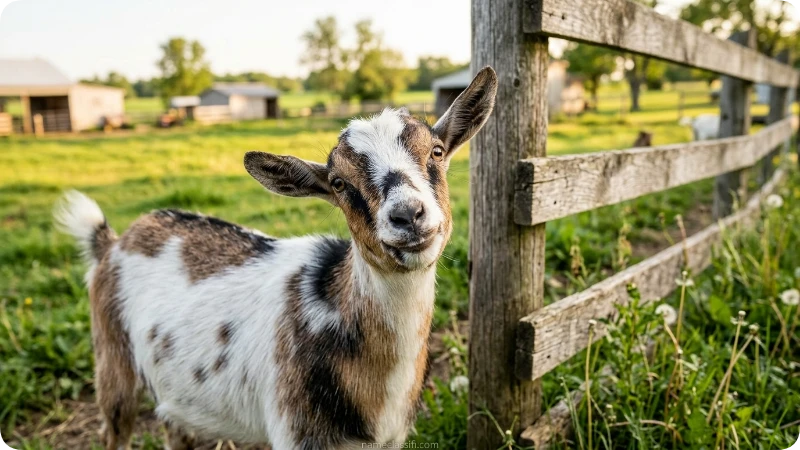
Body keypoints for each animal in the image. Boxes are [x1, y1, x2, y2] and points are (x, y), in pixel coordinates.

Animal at [54, 67, 498, 450]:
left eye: (436, 152)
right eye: (338, 183)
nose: (408, 215)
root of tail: (112, 241)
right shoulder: (295, 431)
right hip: (112, 363)